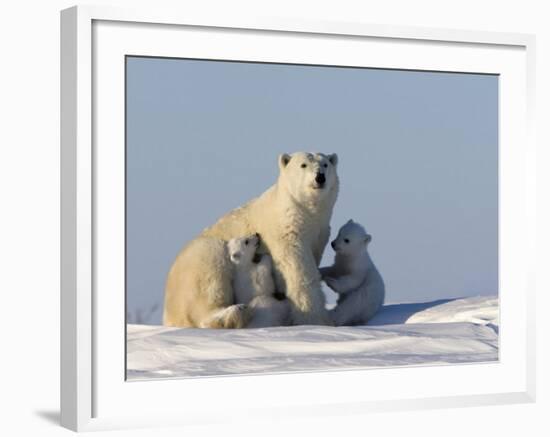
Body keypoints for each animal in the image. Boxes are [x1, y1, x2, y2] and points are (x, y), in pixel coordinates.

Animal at [163, 152, 340, 328]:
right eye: (303, 165)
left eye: (325, 164)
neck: (302, 212)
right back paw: (236, 311)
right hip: (200, 261)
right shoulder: (285, 232)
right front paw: (315, 319)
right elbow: (298, 269)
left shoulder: (319, 233)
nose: (320, 177)